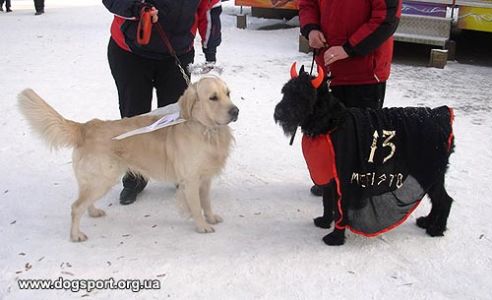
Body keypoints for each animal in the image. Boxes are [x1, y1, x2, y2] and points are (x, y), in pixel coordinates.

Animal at [272, 63, 454, 246]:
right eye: (285, 91)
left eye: (302, 96)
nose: (279, 113)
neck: (331, 123)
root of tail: (440, 116)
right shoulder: (330, 176)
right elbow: (327, 201)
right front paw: (324, 221)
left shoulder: (345, 179)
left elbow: (340, 210)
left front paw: (336, 237)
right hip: (431, 175)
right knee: (439, 199)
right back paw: (428, 222)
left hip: (428, 172)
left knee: (444, 200)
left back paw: (436, 229)